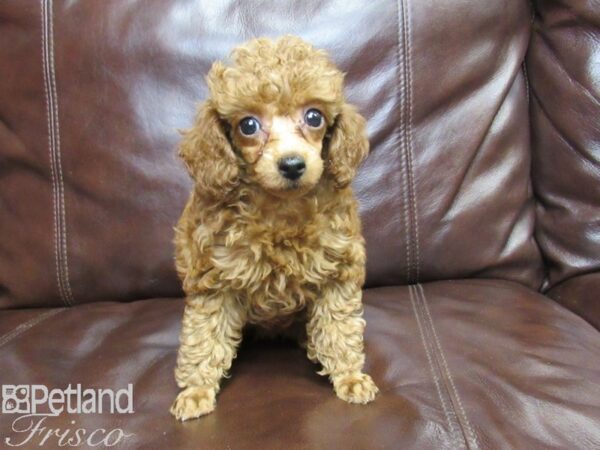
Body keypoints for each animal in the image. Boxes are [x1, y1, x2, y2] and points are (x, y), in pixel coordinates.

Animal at [170, 35, 376, 422]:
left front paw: (350, 377)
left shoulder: (338, 269)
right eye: (248, 126)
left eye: (314, 117)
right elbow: (205, 337)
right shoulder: (213, 279)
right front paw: (196, 391)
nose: (292, 164)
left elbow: (339, 328)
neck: (280, 208)